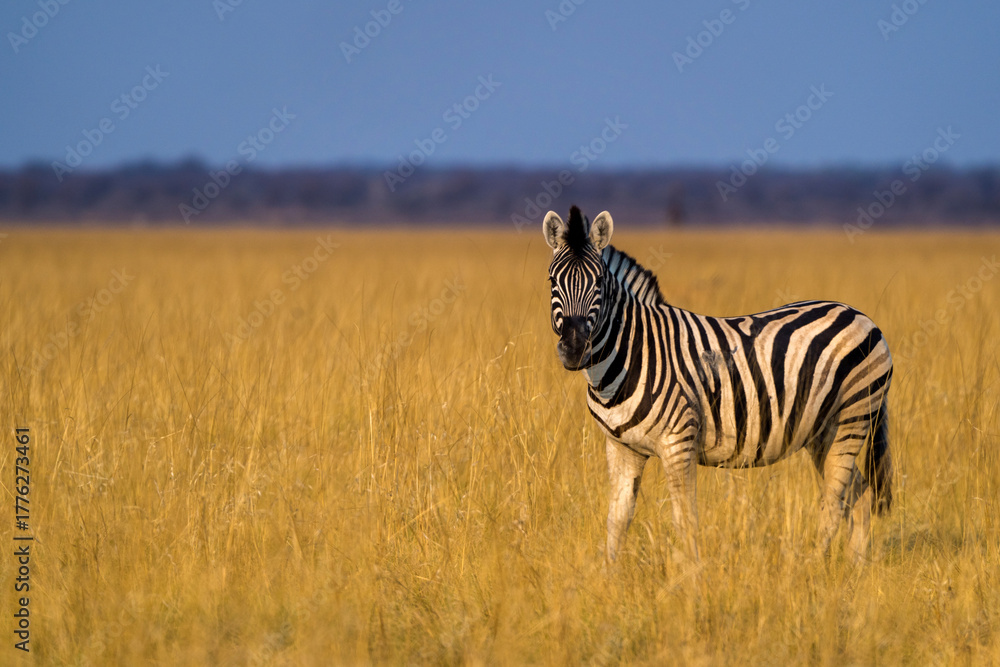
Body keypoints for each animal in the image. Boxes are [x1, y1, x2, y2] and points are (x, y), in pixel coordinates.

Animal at [543, 205, 893, 563]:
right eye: (552, 281)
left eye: (599, 282)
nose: (574, 349)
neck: (632, 352)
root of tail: (860, 315)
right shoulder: (621, 448)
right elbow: (618, 517)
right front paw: (610, 573)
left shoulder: (677, 441)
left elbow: (684, 517)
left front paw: (690, 573)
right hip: (823, 431)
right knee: (859, 492)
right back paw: (856, 566)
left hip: (852, 417)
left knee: (835, 499)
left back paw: (811, 565)